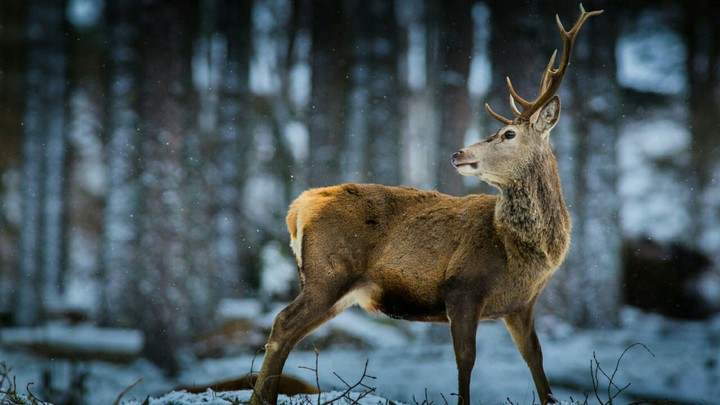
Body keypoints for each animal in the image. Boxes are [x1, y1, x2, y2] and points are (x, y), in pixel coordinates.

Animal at [250, 5, 602, 405]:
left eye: (508, 134)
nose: (458, 153)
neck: (521, 252)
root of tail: (298, 207)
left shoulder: (521, 305)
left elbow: (537, 362)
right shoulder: (462, 287)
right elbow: (466, 360)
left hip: (337, 287)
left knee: (290, 331)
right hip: (329, 272)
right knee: (283, 323)